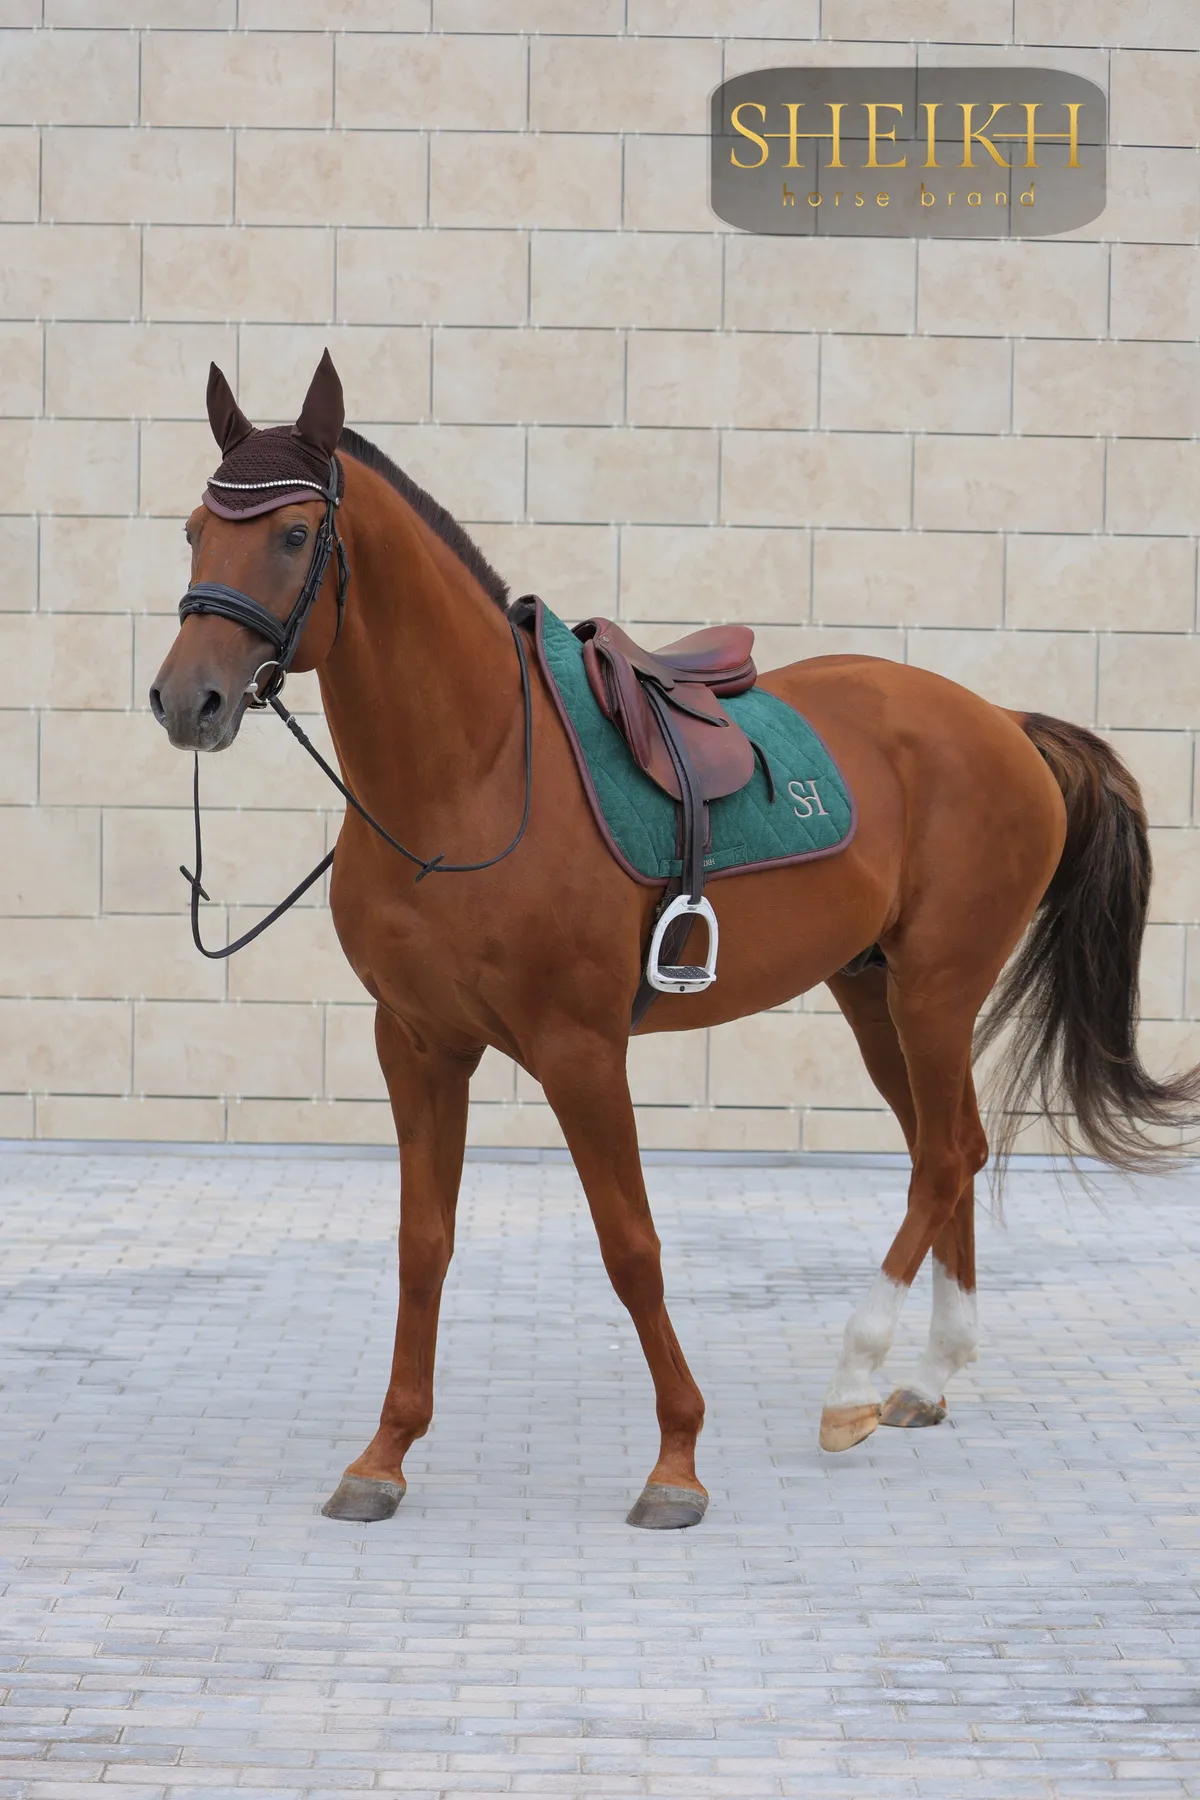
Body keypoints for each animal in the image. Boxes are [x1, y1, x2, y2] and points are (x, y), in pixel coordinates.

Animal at [150, 352, 1200, 1530]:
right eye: (194, 530)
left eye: (292, 535)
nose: (186, 700)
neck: (474, 779)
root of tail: (1004, 724)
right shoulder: (416, 1043)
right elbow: (424, 1246)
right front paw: (384, 1454)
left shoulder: (579, 1050)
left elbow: (632, 1248)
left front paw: (678, 1463)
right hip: (873, 991)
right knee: (954, 1146)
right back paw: (926, 1380)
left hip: (936, 988)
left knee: (941, 1156)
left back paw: (853, 1380)